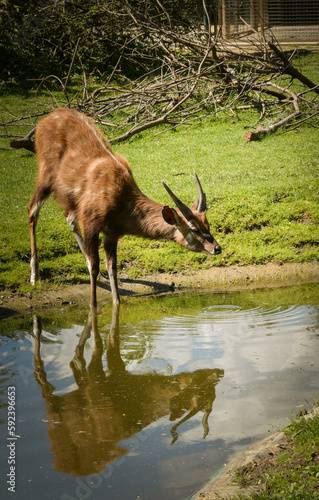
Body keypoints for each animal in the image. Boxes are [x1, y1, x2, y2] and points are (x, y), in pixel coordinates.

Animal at [28, 107, 221, 306]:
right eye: (194, 229)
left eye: (207, 224)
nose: (217, 248)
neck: (121, 198)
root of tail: (46, 119)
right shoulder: (91, 224)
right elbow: (96, 266)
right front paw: (93, 305)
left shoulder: (111, 233)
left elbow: (112, 268)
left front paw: (116, 302)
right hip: (46, 176)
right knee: (32, 210)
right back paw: (34, 276)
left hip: (69, 200)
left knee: (69, 219)